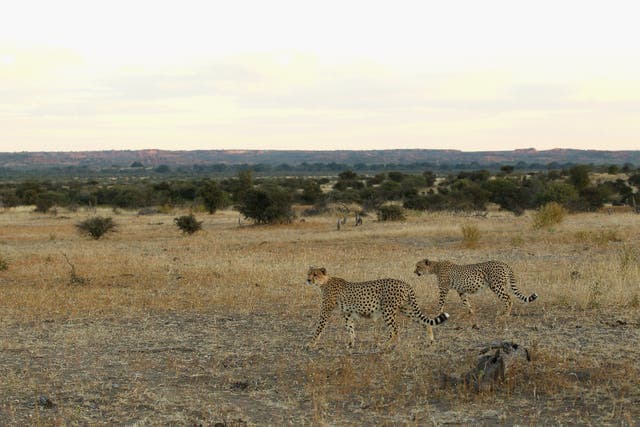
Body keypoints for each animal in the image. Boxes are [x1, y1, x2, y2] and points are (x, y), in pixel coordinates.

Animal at [306, 268, 450, 352]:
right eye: (309, 274)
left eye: (315, 274)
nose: (308, 280)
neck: (323, 283)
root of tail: (405, 283)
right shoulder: (347, 314)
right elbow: (350, 329)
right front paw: (351, 344)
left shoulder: (325, 313)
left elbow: (318, 329)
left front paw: (310, 344)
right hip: (406, 309)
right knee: (424, 322)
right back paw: (430, 340)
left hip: (388, 311)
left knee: (395, 330)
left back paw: (384, 345)